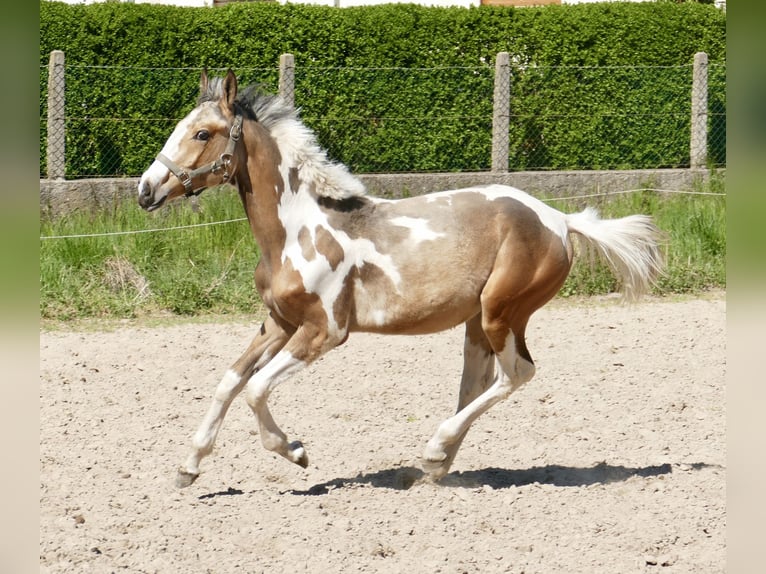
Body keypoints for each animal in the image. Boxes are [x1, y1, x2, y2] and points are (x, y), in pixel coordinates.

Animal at [138, 70, 664, 488]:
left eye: (202, 133)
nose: (146, 190)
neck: (297, 228)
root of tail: (560, 219)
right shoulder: (279, 323)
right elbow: (229, 381)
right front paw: (188, 468)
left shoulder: (324, 331)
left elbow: (256, 388)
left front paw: (296, 451)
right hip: (477, 322)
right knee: (477, 383)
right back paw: (435, 467)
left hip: (503, 311)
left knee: (517, 374)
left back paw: (434, 450)